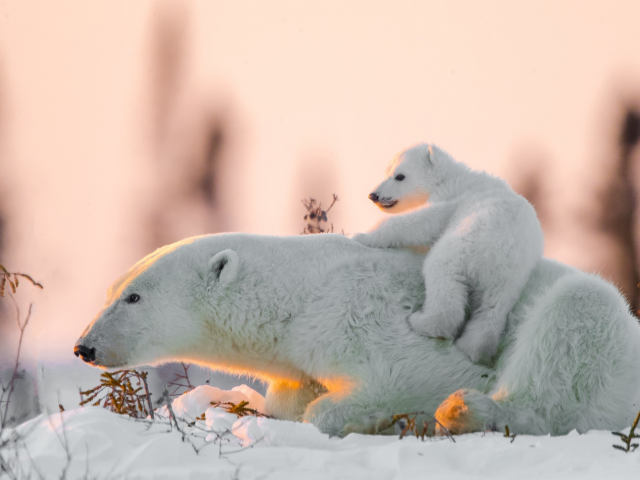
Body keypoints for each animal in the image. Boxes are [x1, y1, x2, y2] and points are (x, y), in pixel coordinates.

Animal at [75, 234, 640, 436]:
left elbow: (411, 376)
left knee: (576, 317)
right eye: (111, 290)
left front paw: (365, 416)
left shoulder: (363, 313)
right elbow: (289, 395)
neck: (300, 292)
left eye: (134, 298)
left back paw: (467, 411)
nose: (85, 346)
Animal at [352, 143, 544, 364]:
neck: (450, 176)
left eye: (400, 176)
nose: (373, 195)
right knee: (491, 310)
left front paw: (362, 236)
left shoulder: (452, 197)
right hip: (510, 279)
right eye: (387, 172)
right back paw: (472, 347)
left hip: (464, 243)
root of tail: (504, 253)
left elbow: (422, 221)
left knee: (442, 275)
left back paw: (422, 321)